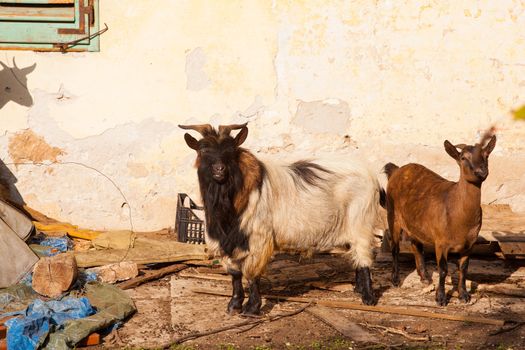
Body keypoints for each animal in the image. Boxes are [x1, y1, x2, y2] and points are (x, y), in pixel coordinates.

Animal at [179, 124, 380, 316]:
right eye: (203, 150)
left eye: (231, 150)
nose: (219, 169)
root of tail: (371, 174)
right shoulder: (226, 241)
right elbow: (235, 274)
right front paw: (234, 305)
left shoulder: (258, 238)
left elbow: (251, 274)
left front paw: (251, 308)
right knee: (356, 254)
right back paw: (358, 288)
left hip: (361, 220)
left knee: (364, 256)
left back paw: (368, 298)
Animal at [382, 130, 494, 304]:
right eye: (463, 158)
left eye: (486, 155)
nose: (481, 172)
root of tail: (397, 169)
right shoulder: (441, 242)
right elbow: (443, 269)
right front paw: (440, 298)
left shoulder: (470, 243)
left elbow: (464, 269)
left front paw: (464, 295)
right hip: (392, 215)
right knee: (395, 247)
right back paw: (395, 279)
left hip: (414, 222)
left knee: (416, 245)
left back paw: (425, 277)